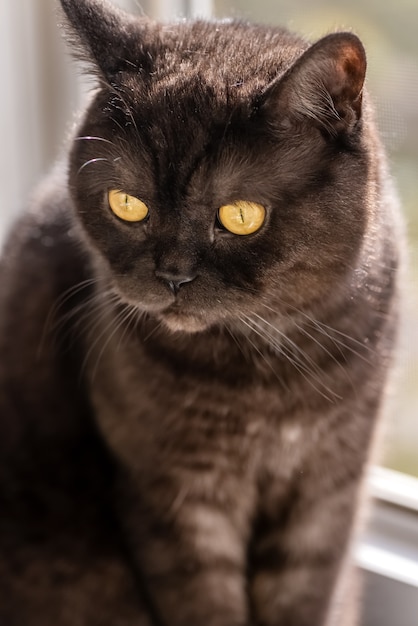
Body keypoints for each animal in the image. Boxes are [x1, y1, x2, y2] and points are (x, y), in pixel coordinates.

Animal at [0, 1, 402, 624]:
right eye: (127, 205)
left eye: (240, 216)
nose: (172, 274)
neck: (269, 376)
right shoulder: (175, 499)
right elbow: (205, 605)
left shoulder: (329, 488)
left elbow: (304, 597)